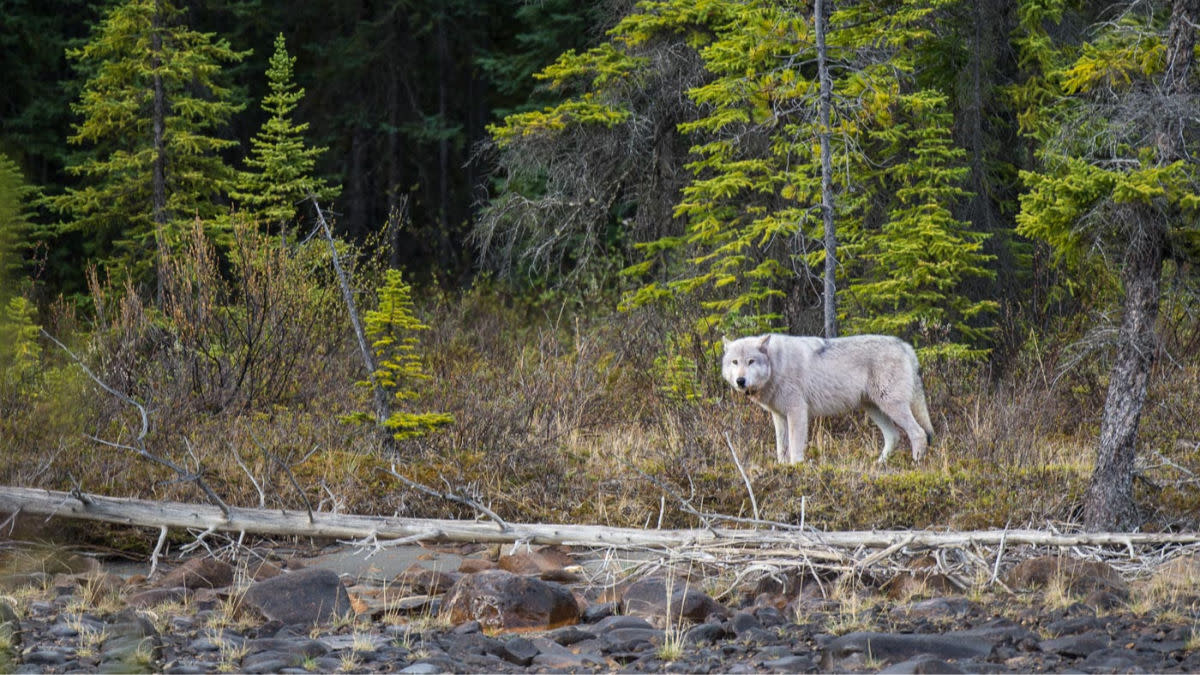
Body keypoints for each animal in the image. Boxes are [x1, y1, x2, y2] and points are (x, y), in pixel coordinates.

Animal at [721, 333, 934, 464]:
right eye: (735, 362)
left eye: (751, 361)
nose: (740, 381)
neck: (776, 365)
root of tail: (904, 345)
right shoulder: (779, 416)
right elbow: (781, 448)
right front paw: (782, 468)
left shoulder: (797, 412)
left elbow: (795, 447)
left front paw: (795, 468)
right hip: (874, 409)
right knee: (894, 436)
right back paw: (879, 464)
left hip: (891, 406)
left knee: (919, 433)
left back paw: (915, 463)